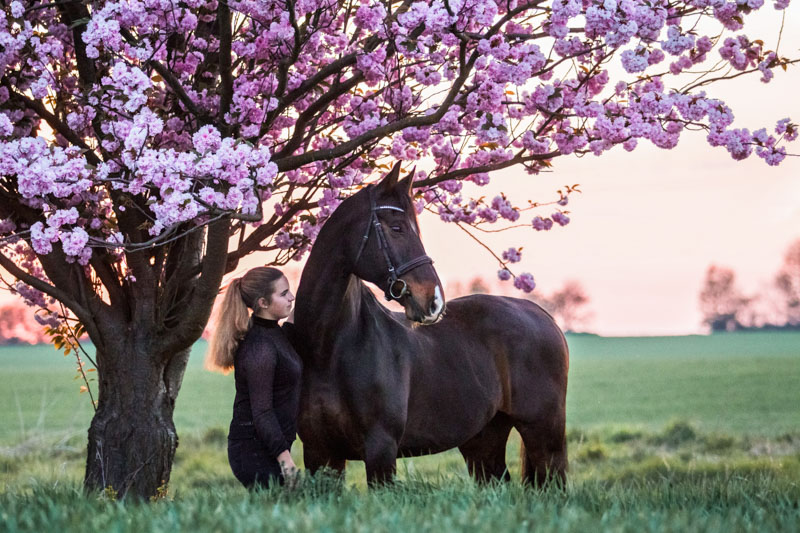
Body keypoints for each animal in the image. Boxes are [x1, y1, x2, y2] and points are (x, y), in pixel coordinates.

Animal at [292, 162, 569, 486]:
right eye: (396, 228)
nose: (434, 299)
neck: (330, 348)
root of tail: (542, 315)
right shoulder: (320, 453)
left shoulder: (381, 449)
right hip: (483, 440)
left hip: (544, 434)